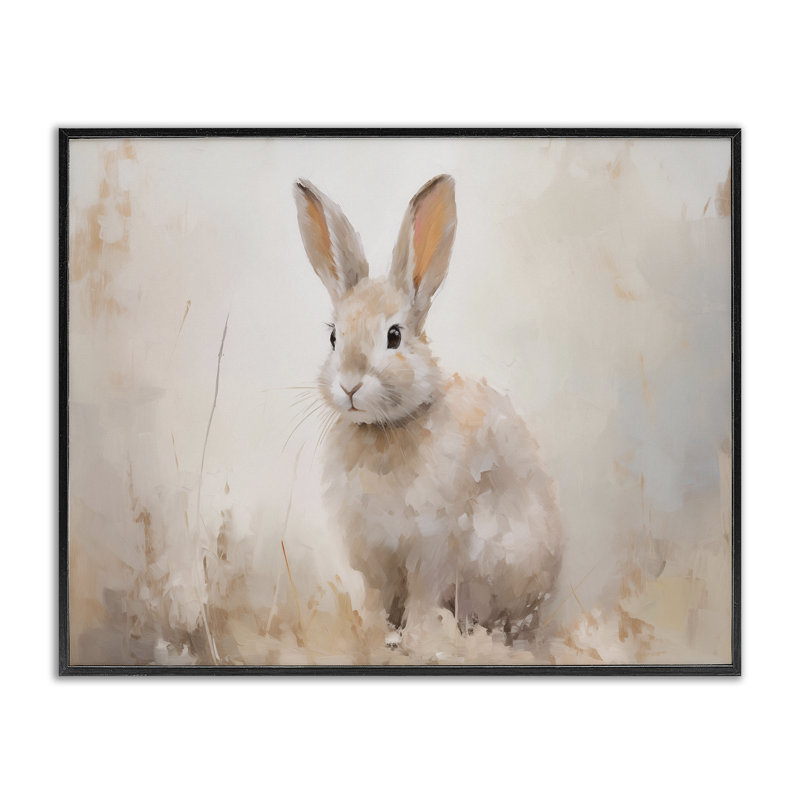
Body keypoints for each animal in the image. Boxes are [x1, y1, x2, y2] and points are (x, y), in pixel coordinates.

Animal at [293, 174, 563, 644]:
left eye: (394, 336)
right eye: (333, 337)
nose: (349, 385)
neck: (384, 429)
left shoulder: (433, 546)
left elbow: (423, 594)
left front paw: (420, 638)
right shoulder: (374, 556)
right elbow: (377, 599)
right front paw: (371, 633)